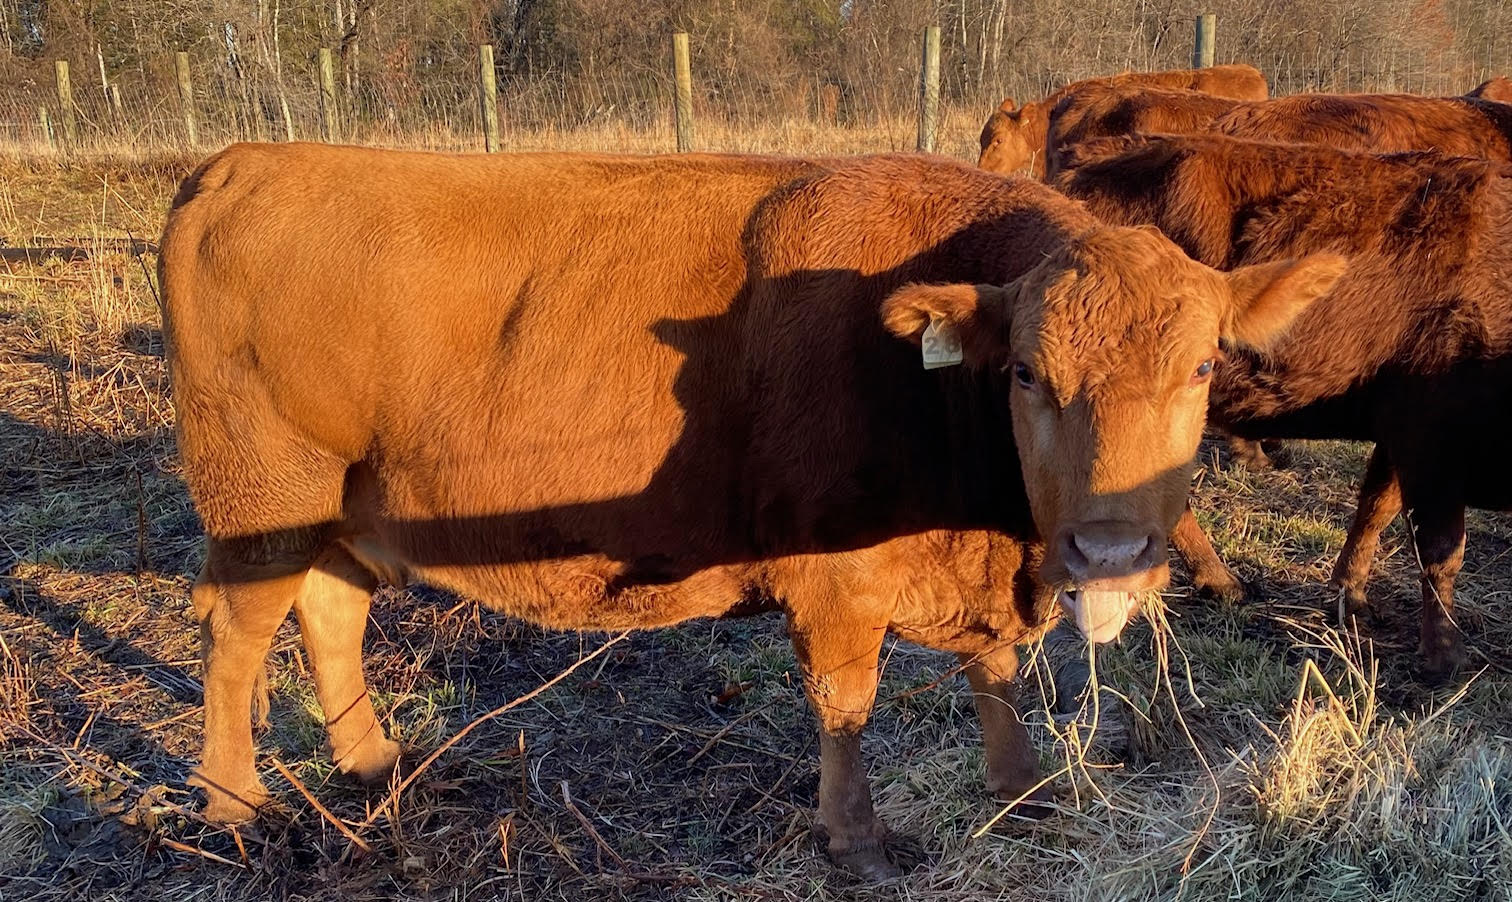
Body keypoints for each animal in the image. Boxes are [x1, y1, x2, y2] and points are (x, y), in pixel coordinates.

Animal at [159, 143, 1341, 878]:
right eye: (1028, 375)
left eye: (1202, 366)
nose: (1107, 547)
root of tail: (242, 162)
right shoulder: (838, 581)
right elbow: (846, 703)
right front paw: (856, 840)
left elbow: (996, 677)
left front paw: (1024, 790)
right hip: (263, 497)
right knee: (235, 633)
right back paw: (230, 800)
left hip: (347, 505)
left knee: (330, 608)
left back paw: (369, 761)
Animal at [1055, 132, 1512, 681]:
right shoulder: (1430, 446)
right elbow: (1441, 551)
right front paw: (1445, 653)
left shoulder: (1400, 440)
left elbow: (1374, 511)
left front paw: (1352, 595)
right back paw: (1219, 581)